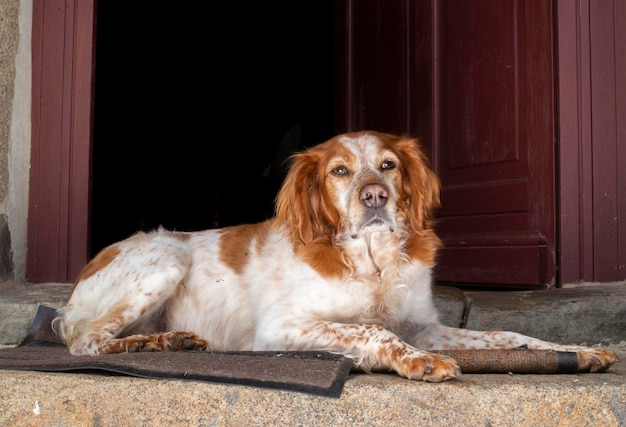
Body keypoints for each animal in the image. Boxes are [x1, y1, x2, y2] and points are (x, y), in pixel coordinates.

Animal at [52, 131, 616, 384]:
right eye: (340, 172)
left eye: (388, 165)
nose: (375, 196)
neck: (373, 263)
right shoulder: (280, 329)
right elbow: (368, 330)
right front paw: (417, 361)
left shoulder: (422, 323)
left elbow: (511, 335)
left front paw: (578, 351)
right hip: (167, 256)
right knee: (85, 342)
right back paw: (148, 344)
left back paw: (171, 341)